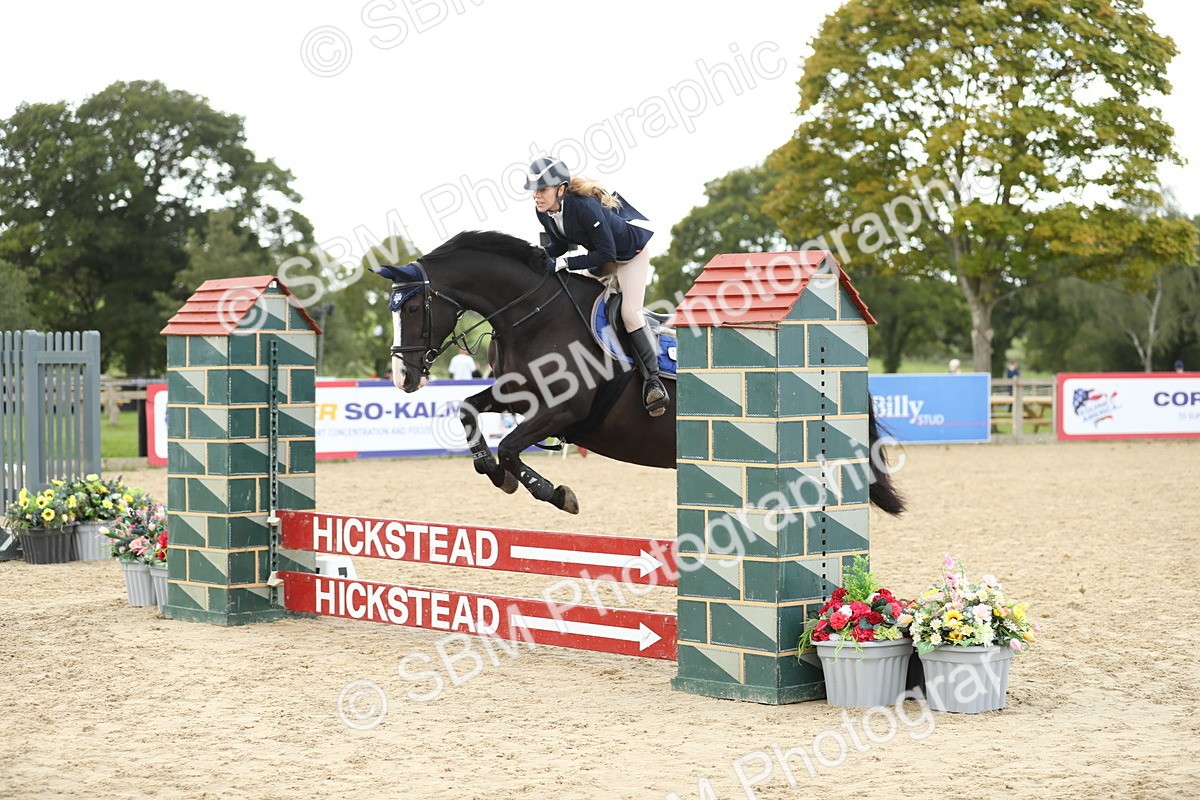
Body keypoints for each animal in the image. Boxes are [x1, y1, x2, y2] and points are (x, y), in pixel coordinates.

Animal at [373, 231, 904, 517]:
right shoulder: (515, 396)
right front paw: (493, 472)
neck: (533, 315)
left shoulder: (563, 411)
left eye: (414, 306)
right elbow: (469, 412)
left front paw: (557, 493)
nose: (403, 378)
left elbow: (510, 446)